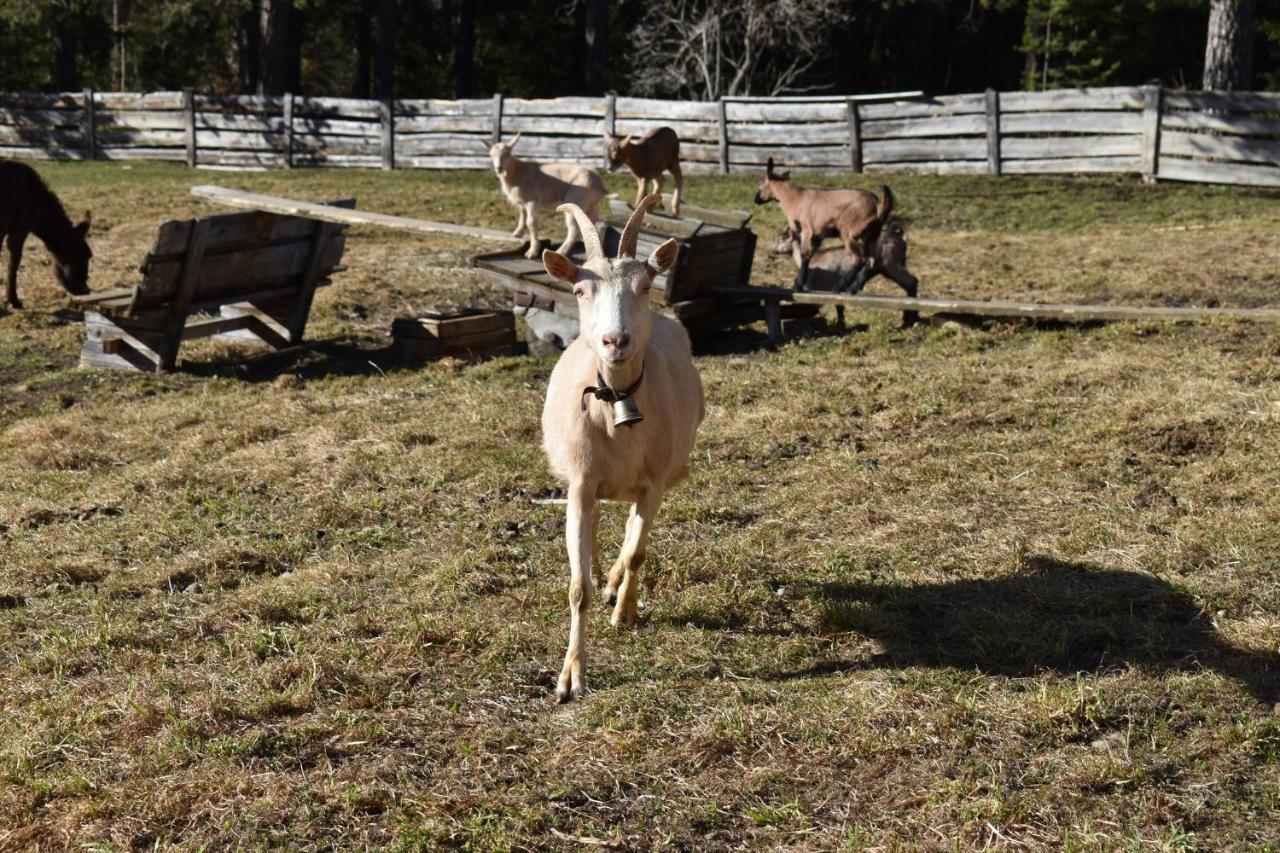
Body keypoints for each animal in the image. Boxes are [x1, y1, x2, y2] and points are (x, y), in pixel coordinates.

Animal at [537, 194, 706, 701]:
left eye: (645, 284)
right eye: (579, 290)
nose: (616, 340)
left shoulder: (653, 484)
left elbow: (635, 552)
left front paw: (624, 610)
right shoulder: (580, 483)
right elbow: (577, 586)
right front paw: (570, 677)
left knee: (633, 530)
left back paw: (616, 587)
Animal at [752, 154, 885, 263]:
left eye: (760, 184)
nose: (756, 200)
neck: (793, 197)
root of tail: (876, 202)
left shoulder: (806, 231)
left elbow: (804, 256)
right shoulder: (816, 237)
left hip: (850, 233)